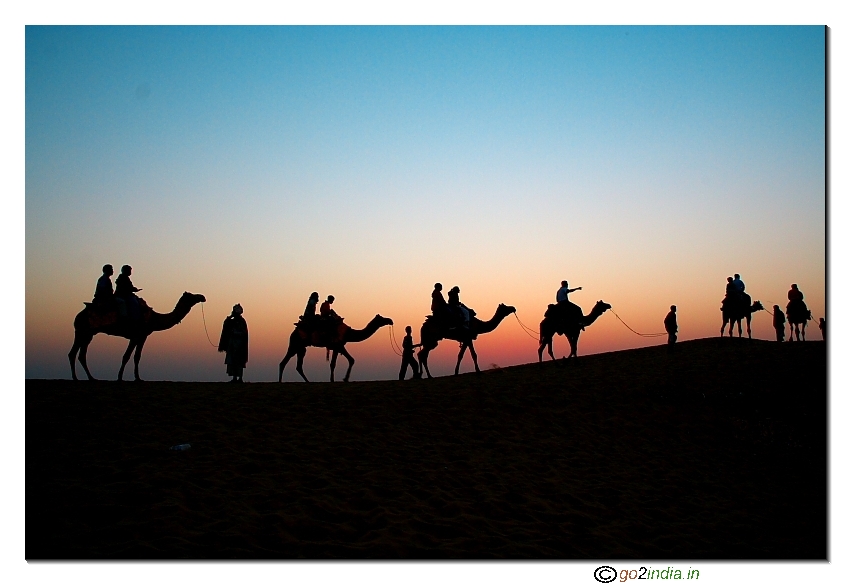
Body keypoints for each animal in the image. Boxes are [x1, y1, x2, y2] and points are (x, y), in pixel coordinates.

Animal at [69, 292, 205, 384]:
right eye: (191, 296)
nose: (202, 297)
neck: (154, 319)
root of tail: (79, 314)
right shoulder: (137, 335)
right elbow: (127, 356)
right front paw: (120, 377)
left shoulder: (141, 337)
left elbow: (136, 357)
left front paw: (137, 378)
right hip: (85, 331)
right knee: (77, 353)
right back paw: (79, 378)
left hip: (85, 332)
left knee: (77, 354)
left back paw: (87, 378)